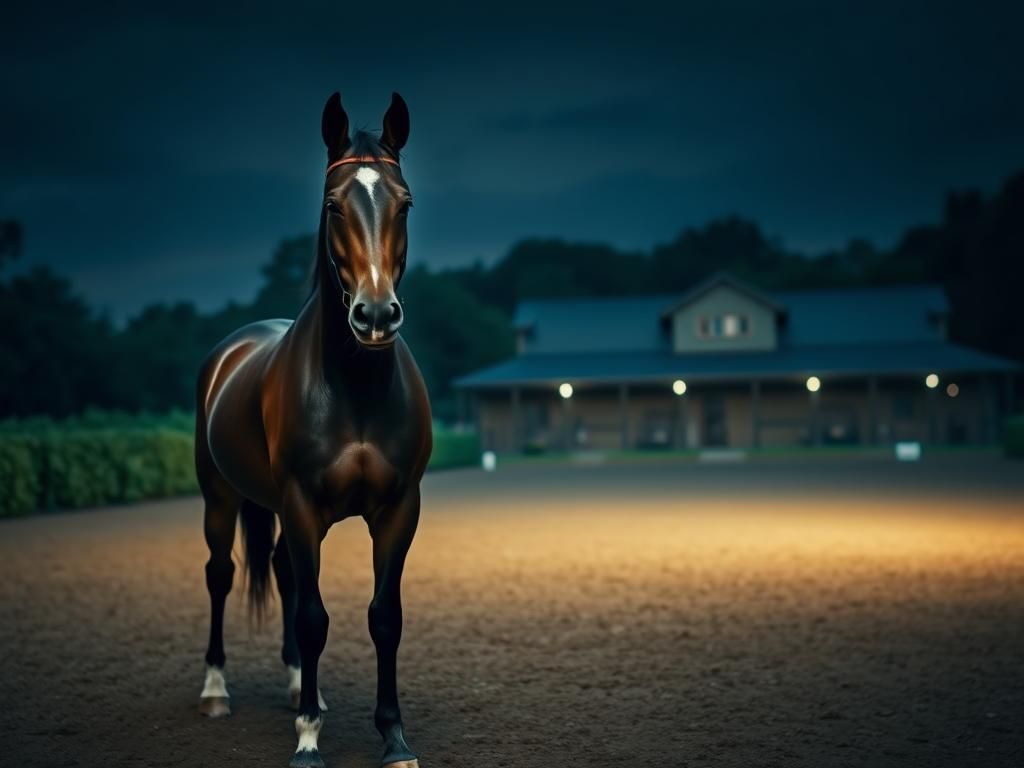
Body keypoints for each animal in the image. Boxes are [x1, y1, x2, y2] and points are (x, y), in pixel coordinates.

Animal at [194, 91, 431, 768]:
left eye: (405, 202)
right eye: (333, 205)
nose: (375, 316)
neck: (354, 390)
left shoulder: (400, 508)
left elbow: (384, 617)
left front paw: (394, 737)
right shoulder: (300, 504)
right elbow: (313, 618)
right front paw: (307, 741)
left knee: (280, 570)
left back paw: (304, 686)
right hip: (219, 496)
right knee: (221, 575)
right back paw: (216, 691)